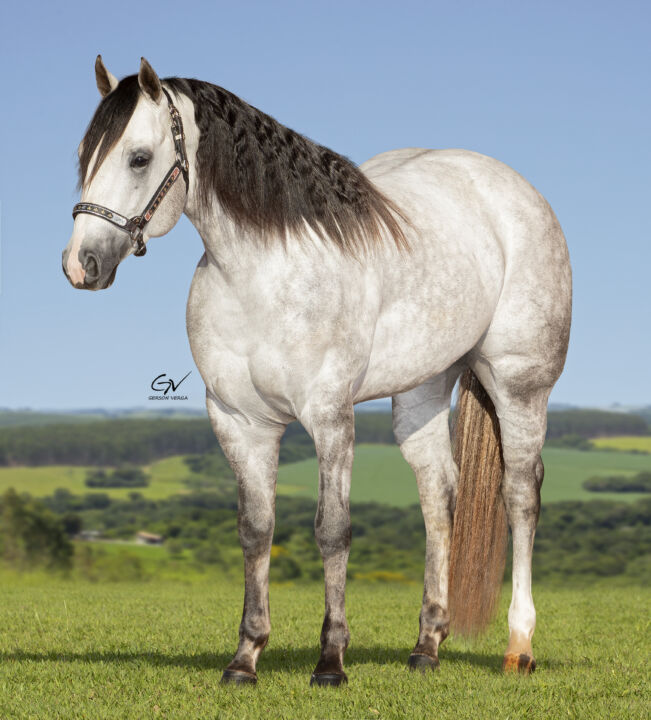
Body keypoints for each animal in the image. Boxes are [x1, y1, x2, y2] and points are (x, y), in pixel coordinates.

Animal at [61, 56, 572, 688]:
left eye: (137, 157)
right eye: (84, 154)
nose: (80, 265)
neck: (262, 273)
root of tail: (515, 190)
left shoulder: (330, 418)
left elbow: (333, 530)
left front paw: (331, 661)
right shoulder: (239, 422)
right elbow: (256, 529)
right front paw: (245, 658)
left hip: (520, 384)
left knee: (521, 493)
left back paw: (519, 646)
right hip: (422, 392)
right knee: (439, 495)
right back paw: (426, 646)